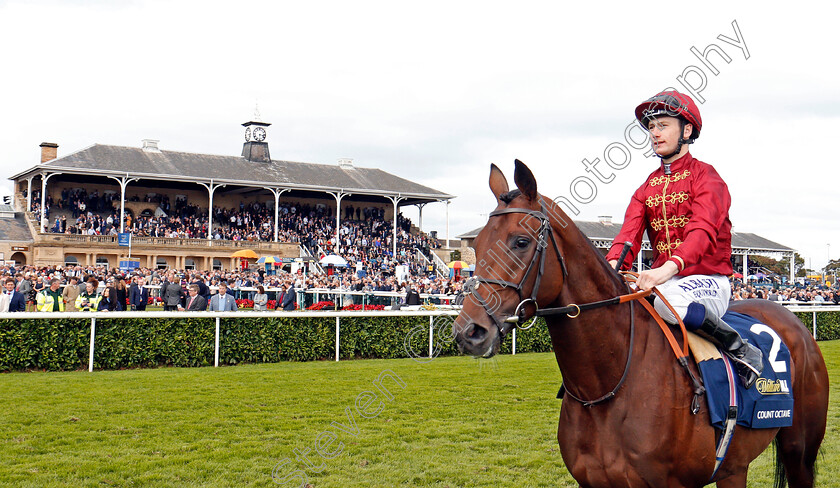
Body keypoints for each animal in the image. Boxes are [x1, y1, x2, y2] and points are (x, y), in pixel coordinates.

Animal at [452, 161, 828, 488]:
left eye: (520, 241)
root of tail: (790, 319)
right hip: (734, 464)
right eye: (479, 244)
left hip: (800, 451)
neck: (606, 385)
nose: (468, 331)